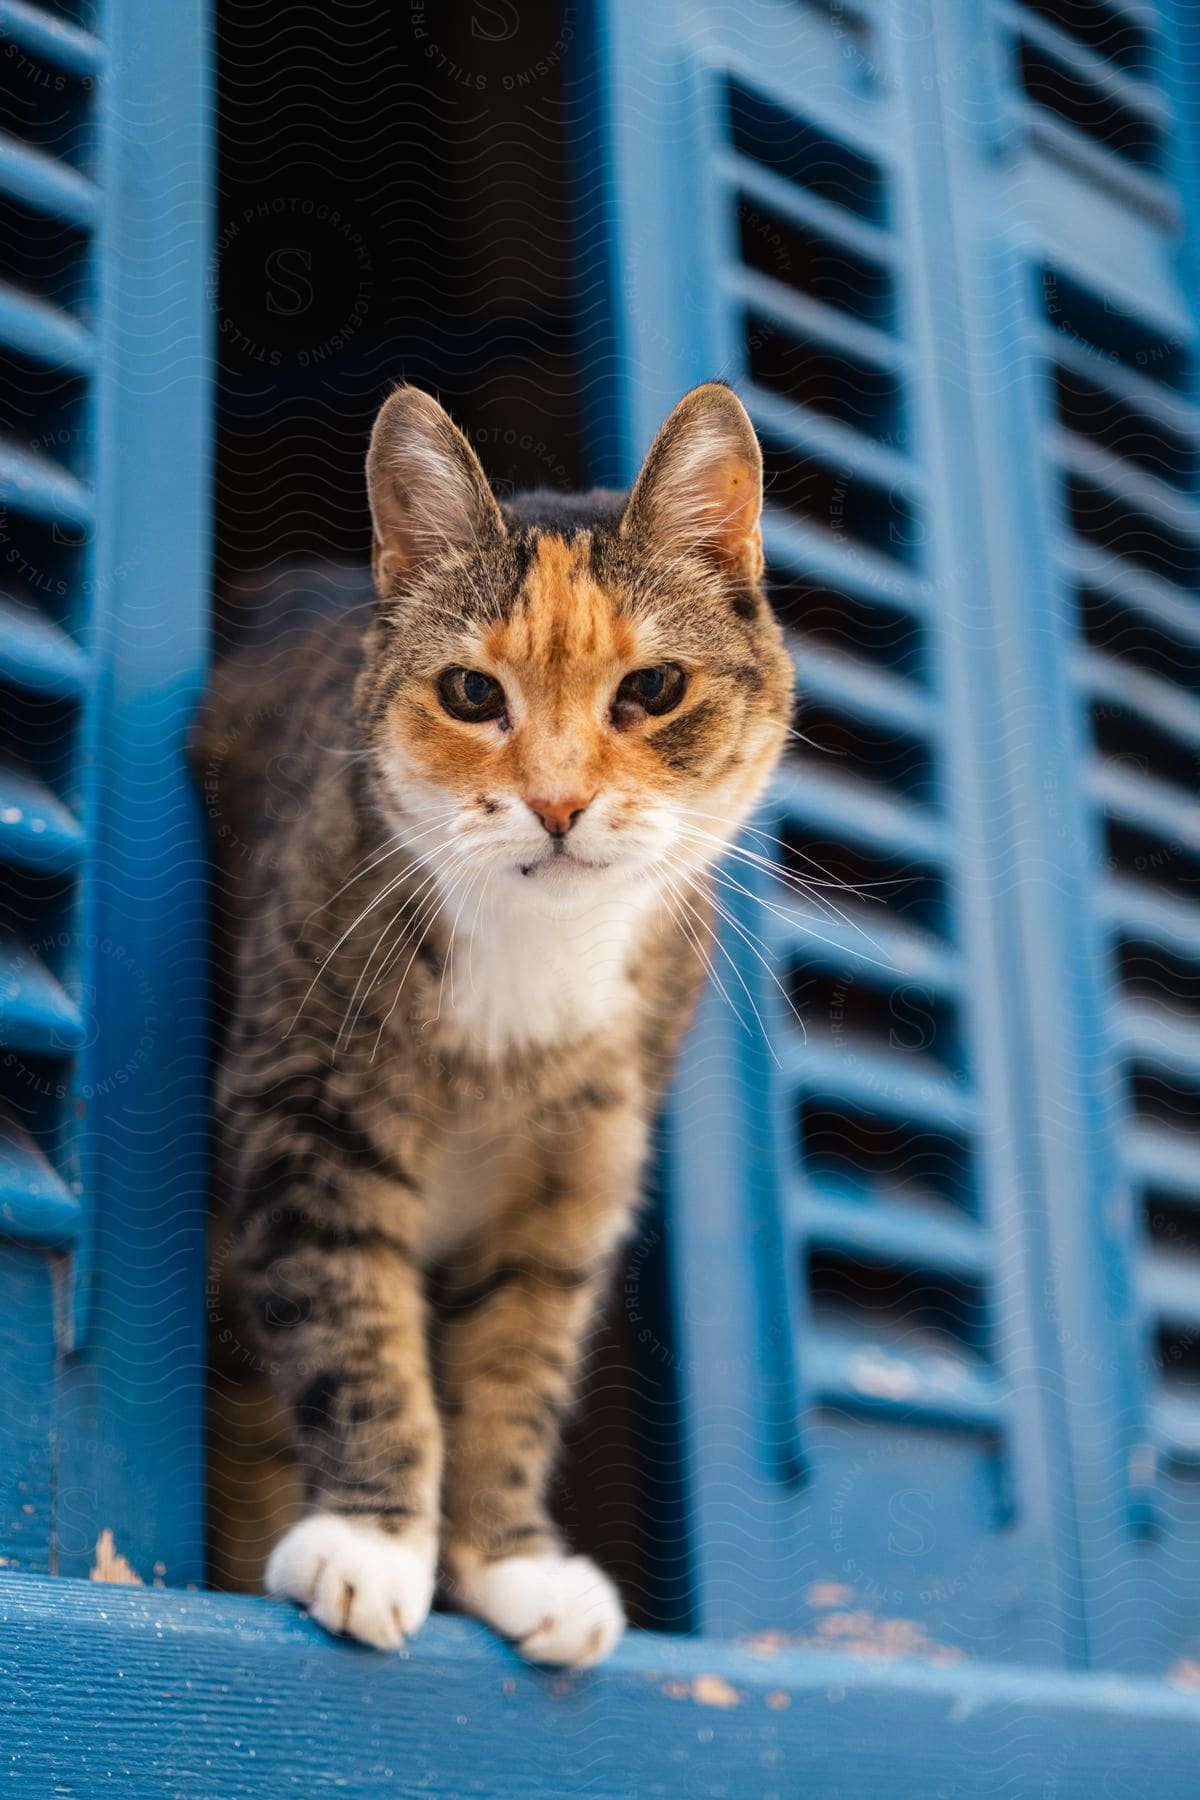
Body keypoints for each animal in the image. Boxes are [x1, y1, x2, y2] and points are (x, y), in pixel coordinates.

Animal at [195, 376, 798, 1656]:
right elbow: (355, 1333)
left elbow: (516, 1366)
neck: (534, 968)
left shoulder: (578, 1170)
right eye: (472, 693)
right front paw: (370, 1544)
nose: (558, 804)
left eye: (652, 689)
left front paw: (508, 1563)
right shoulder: (304, 1115)